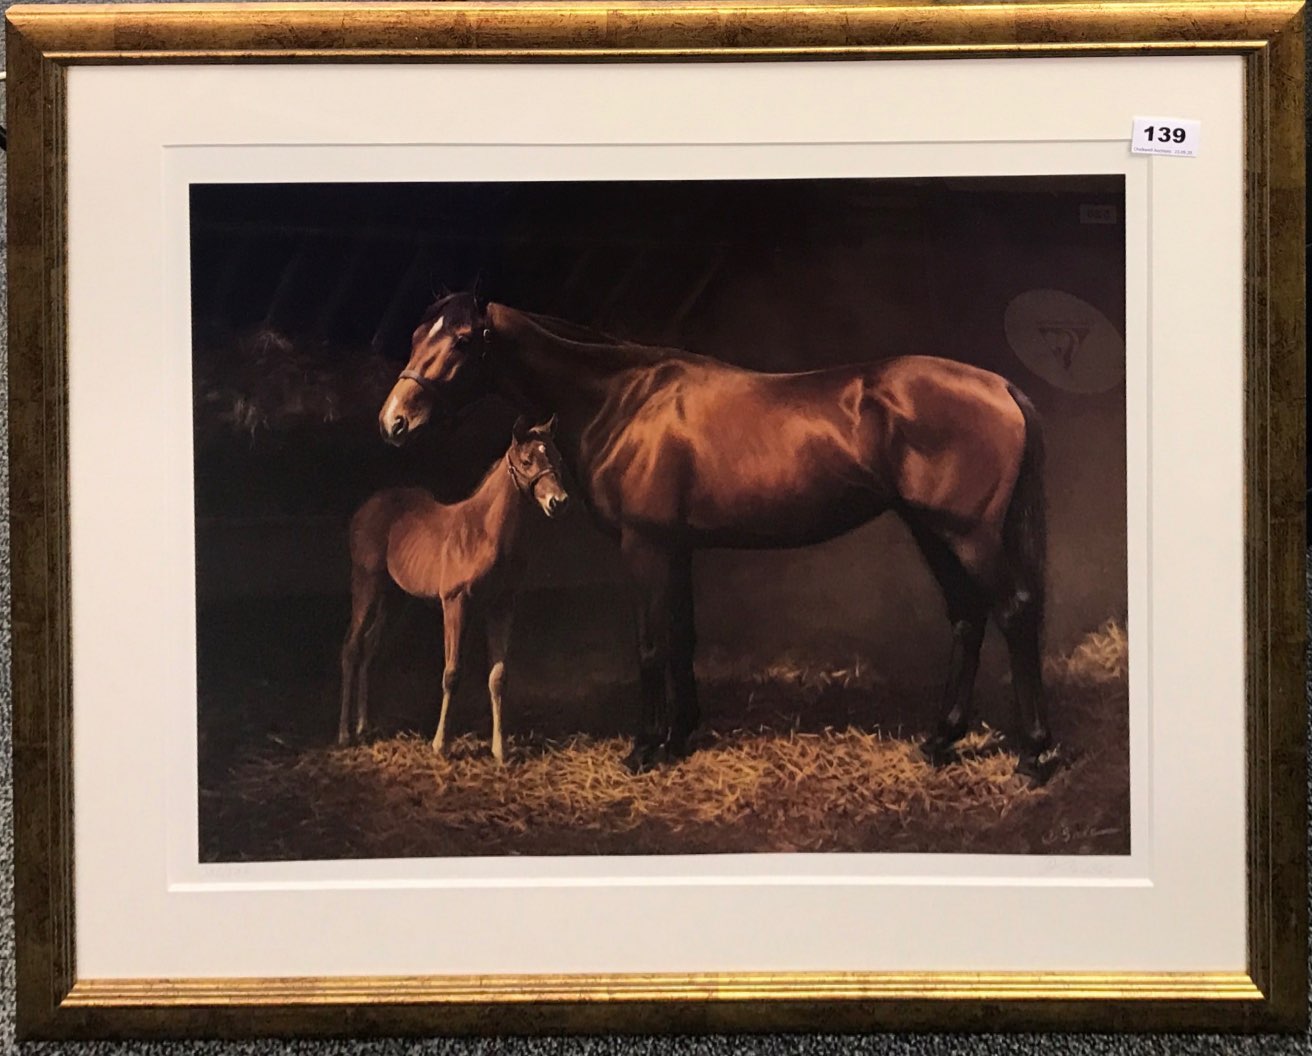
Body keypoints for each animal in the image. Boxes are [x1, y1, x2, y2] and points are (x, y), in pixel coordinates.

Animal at [335, 414, 566, 755]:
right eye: (527, 460)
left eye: (558, 458)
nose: (558, 502)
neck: (485, 534)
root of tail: (365, 508)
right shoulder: (455, 603)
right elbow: (452, 673)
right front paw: (440, 743)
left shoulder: (501, 606)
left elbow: (498, 676)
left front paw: (500, 749)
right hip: (366, 583)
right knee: (351, 647)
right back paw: (345, 734)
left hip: (395, 599)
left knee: (370, 648)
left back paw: (364, 726)